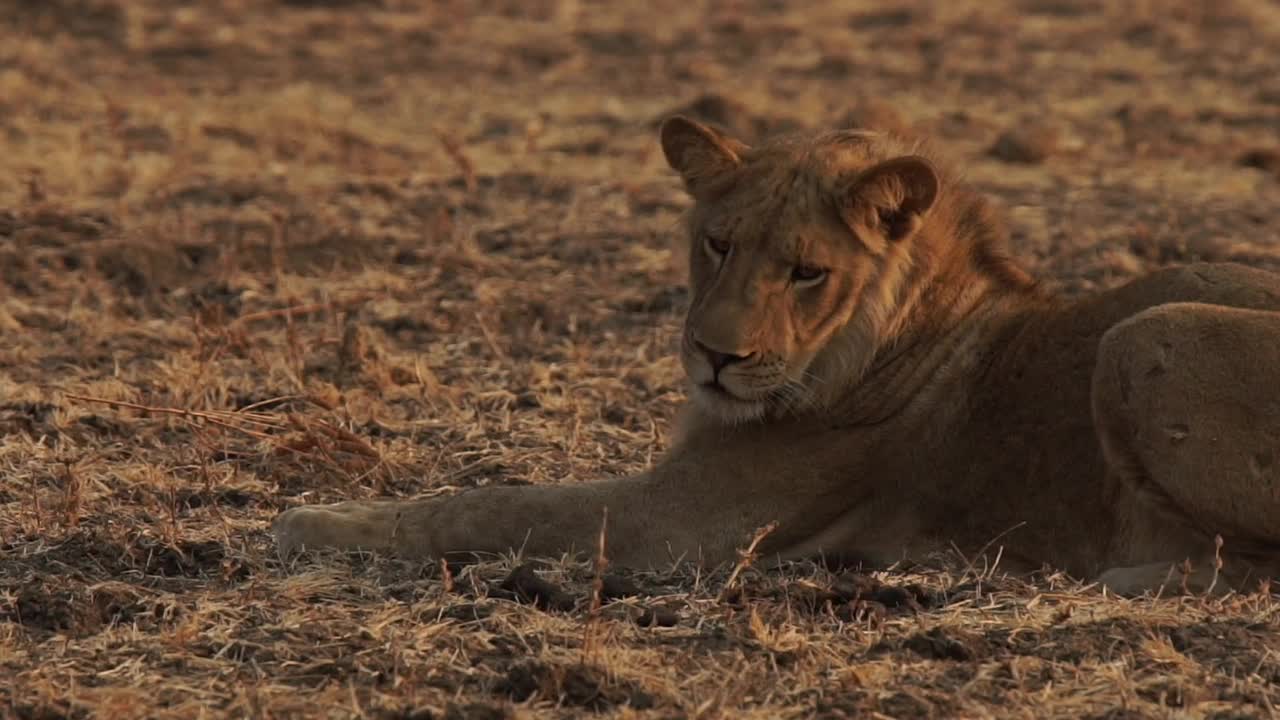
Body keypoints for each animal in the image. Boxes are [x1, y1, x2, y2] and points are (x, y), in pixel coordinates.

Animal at [275, 113, 1280, 594]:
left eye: (807, 272)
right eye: (717, 244)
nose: (714, 358)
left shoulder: (677, 525)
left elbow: (487, 503)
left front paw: (311, 522)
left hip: (1139, 338)